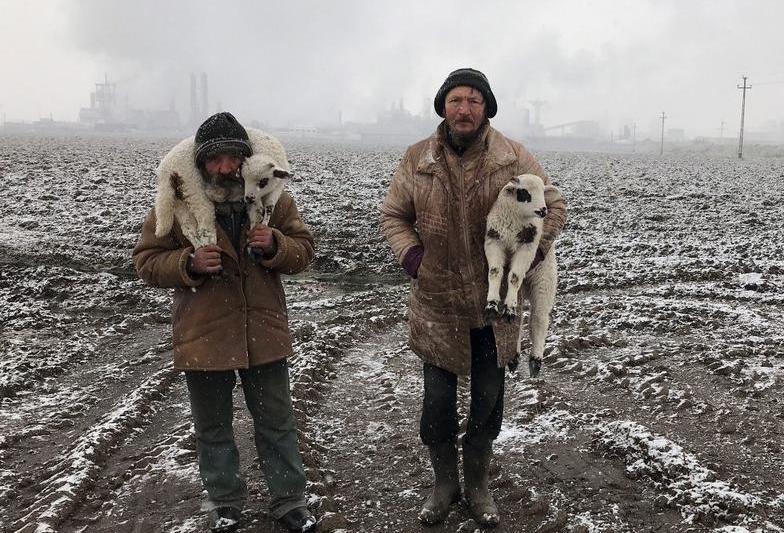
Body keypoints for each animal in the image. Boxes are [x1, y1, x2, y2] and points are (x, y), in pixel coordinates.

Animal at [484, 172, 556, 376]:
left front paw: (507, 306)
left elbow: (514, 276)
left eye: (543, 192)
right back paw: (514, 358)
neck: (516, 218)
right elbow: (495, 272)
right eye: (524, 193)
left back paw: (535, 361)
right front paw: (492, 304)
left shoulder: (527, 248)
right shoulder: (494, 241)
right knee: (519, 322)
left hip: (544, 281)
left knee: (538, 320)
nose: (543, 210)